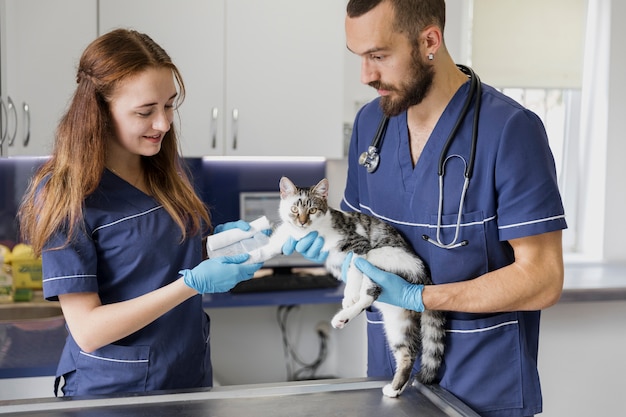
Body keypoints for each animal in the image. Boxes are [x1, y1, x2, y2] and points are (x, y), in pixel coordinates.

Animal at [246, 176, 446, 396]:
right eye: (294, 209)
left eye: (313, 210)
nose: (302, 222)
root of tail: (423, 276)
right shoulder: (284, 236)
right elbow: (266, 249)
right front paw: (243, 259)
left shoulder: (358, 245)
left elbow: (354, 269)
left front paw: (350, 294)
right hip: (397, 321)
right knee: (407, 352)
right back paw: (394, 389)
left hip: (380, 257)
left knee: (369, 293)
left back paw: (344, 314)